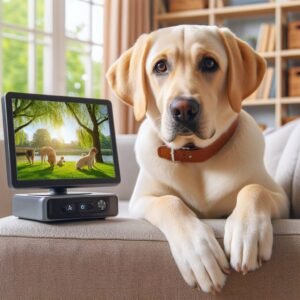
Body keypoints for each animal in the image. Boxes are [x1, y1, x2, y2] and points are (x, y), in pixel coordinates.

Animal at [106, 25, 290, 292]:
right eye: (160, 66)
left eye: (209, 63)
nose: (183, 109)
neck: (195, 156)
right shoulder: (141, 200)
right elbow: (170, 202)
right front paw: (199, 253)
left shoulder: (283, 200)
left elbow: (255, 189)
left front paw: (247, 233)